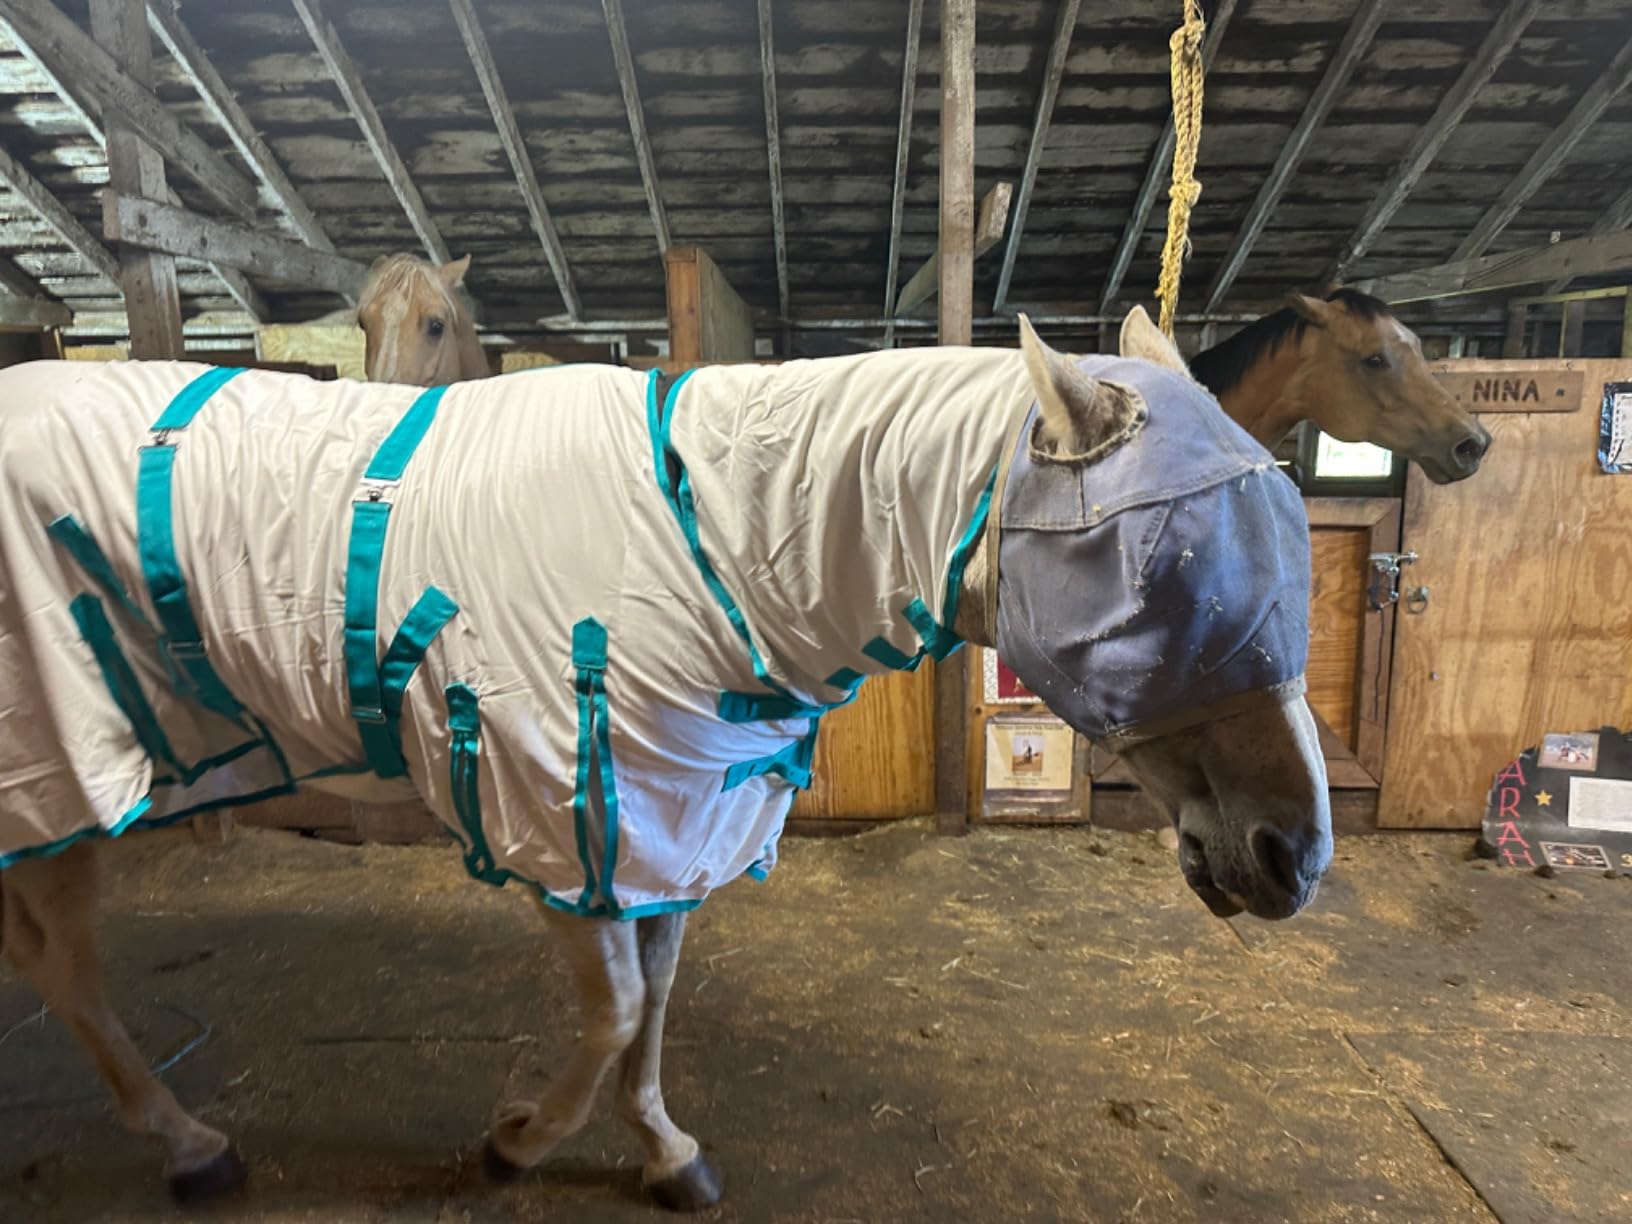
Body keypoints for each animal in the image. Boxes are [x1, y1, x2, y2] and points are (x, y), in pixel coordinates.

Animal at [0, 305, 1332, 1210]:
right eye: (1169, 580)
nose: (1294, 855)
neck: (720, 542)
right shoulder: (567, 816)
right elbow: (616, 1012)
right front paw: (517, 1143)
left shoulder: (671, 816)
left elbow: (655, 1006)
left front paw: (664, 1153)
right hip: (56, 770)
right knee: (70, 974)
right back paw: (190, 1144)